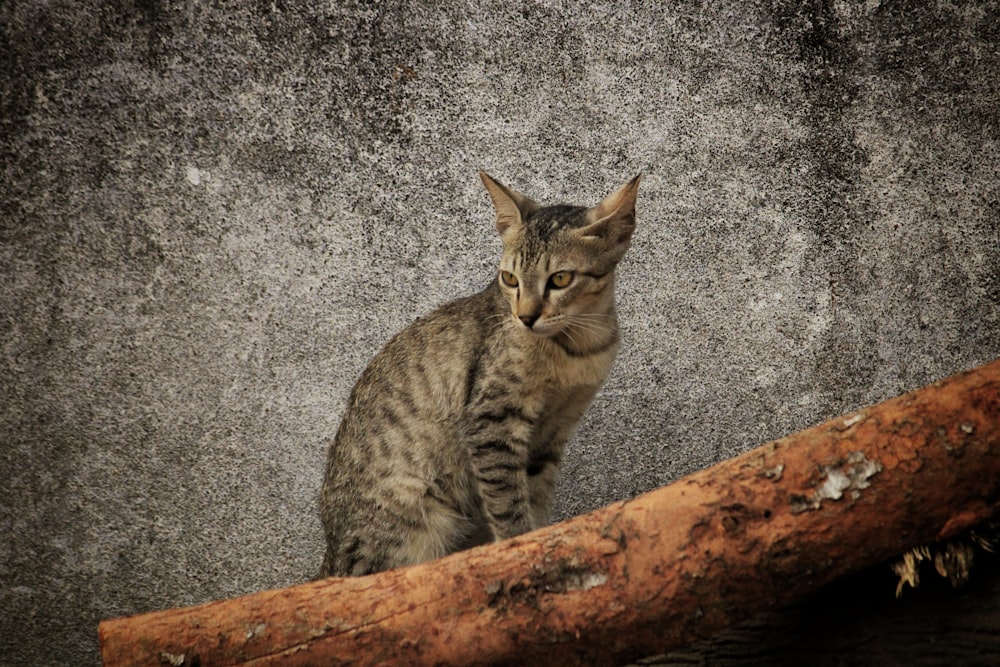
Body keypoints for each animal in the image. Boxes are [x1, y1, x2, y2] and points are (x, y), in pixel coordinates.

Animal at [320, 172, 640, 580]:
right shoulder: (491, 420)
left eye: (561, 278)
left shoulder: (552, 433)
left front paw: (544, 540)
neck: (578, 347)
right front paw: (520, 547)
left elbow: (535, 500)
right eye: (509, 279)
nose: (525, 317)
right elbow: (508, 505)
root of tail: (329, 555)